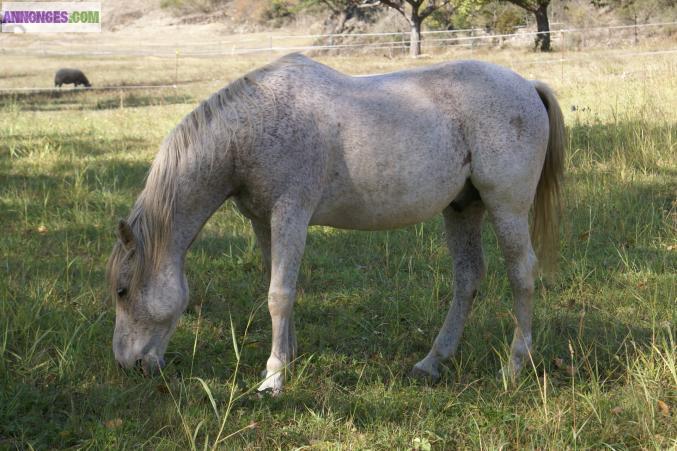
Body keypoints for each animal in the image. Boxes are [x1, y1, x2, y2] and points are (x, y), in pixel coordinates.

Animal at [107, 53, 564, 394]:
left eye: (122, 290)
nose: (128, 364)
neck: (250, 131)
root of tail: (527, 85)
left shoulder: (291, 214)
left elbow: (279, 294)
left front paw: (273, 378)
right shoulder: (264, 222)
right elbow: (278, 287)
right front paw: (287, 358)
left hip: (506, 208)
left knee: (521, 274)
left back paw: (514, 366)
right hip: (462, 209)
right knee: (468, 279)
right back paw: (432, 363)